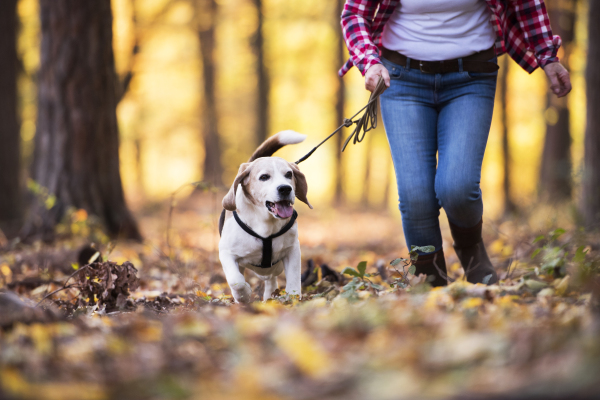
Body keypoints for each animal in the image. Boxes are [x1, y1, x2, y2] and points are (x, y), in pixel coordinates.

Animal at [220, 131, 314, 304]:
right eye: (264, 177)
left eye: (289, 174)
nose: (285, 189)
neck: (265, 223)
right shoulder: (226, 252)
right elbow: (237, 281)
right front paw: (244, 295)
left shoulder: (292, 250)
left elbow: (293, 281)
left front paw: (293, 300)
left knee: (271, 280)